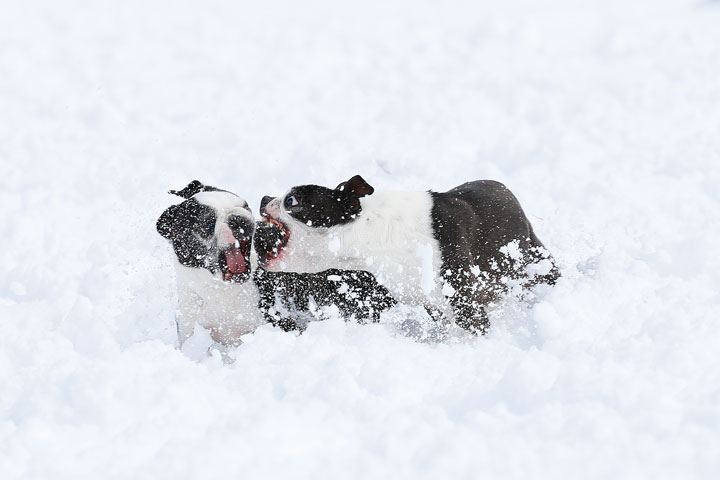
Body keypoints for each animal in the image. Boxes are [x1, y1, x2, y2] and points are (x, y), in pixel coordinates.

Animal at [260, 175, 564, 334]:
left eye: (291, 201)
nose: (263, 198)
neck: (372, 235)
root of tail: (507, 192)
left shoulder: (465, 304)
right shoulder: (432, 303)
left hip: (534, 263)